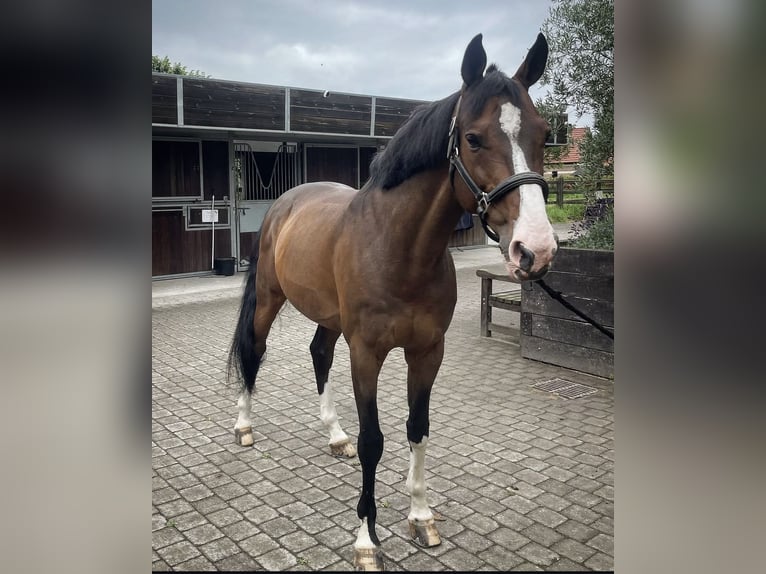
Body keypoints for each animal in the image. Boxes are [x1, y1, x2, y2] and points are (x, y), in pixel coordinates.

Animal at [228, 32, 557, 570]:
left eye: (544, 133)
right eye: (473, 138)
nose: (535, 250)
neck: (400, 249)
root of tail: (286, 202)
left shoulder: (427, 352)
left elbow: (417, 428)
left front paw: (421, 517)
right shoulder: (367, 353)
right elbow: (374, 440)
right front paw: (366, 538)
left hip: (330, 317)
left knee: (319, 353)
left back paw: (333, 434)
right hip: (270, 302)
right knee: (254, 352)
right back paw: (244, 426)